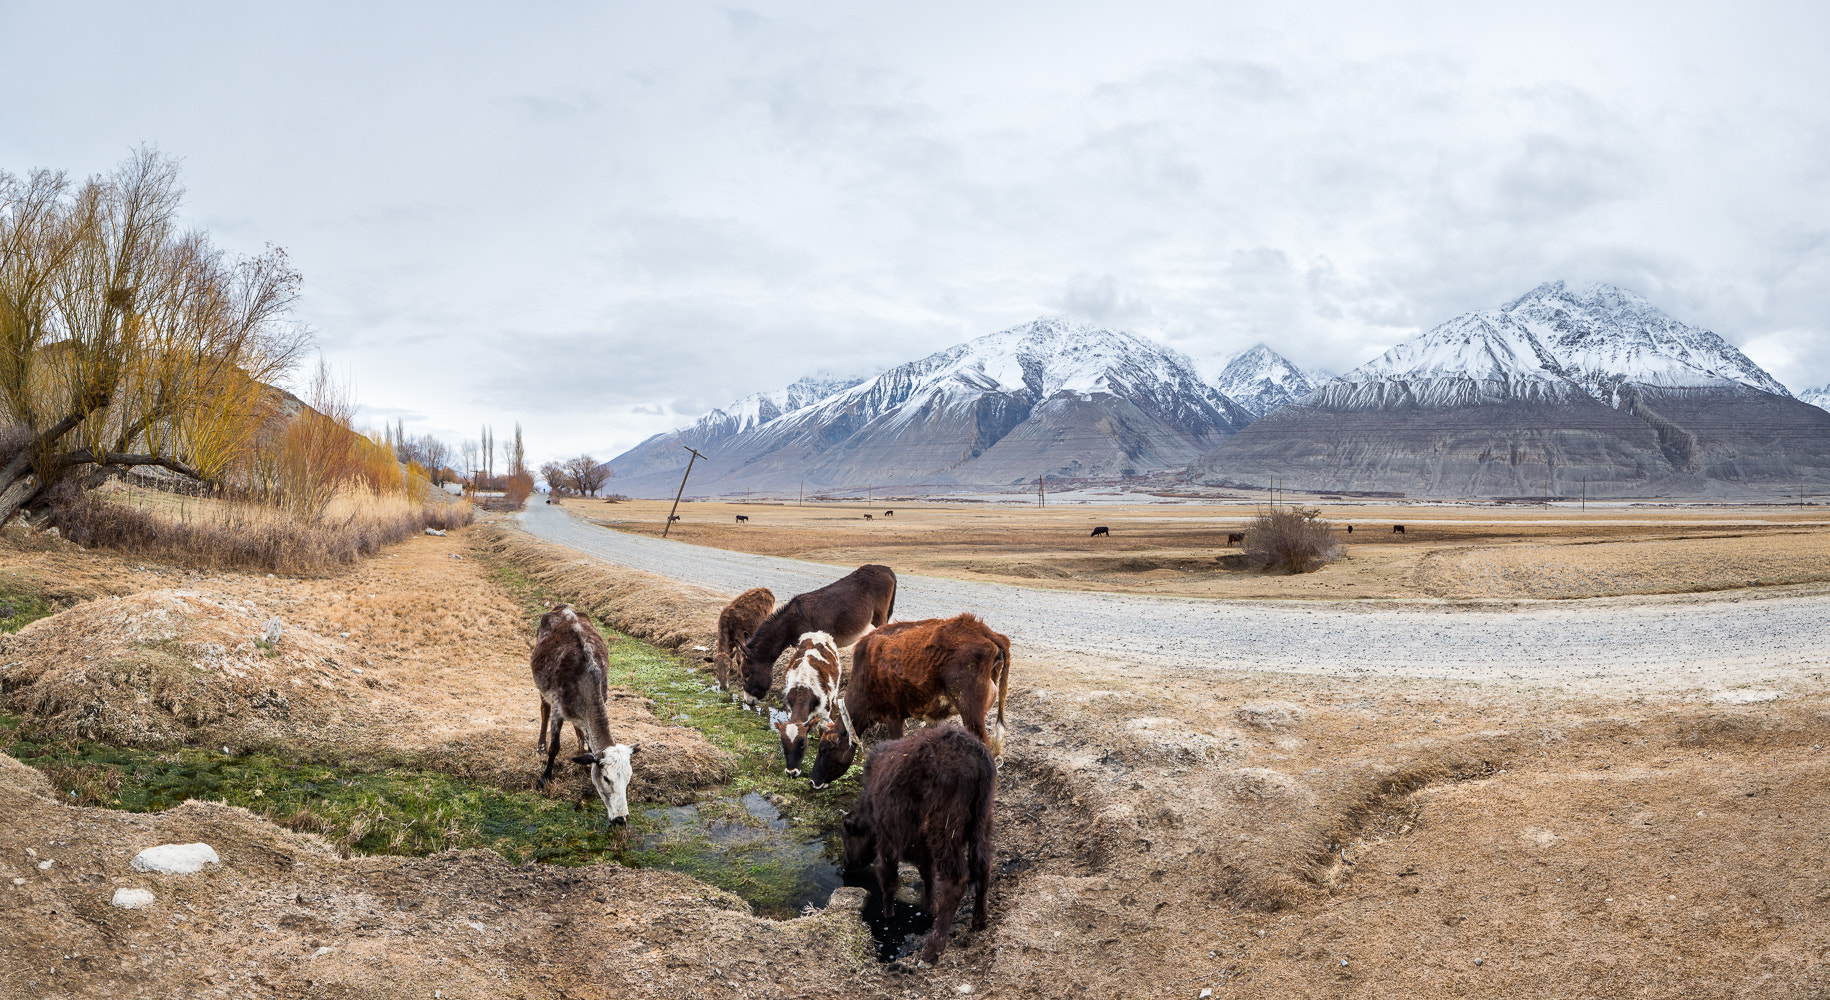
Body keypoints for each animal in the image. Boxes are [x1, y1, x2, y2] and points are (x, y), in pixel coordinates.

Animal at [527, 604, 640, 820]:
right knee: (543, 710)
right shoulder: (558, 708)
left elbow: (588, 743)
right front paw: (544, 778)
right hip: (541, 686)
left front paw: (585, 754)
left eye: (629, 777)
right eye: (606, 778)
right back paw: (540, 746)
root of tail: (562, 606)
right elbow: (555, 747)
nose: (620, 818)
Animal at [812, 608, 1017, 787]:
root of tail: (982, 630)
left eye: (824, 749)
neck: (866, 671)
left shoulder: (893, 716)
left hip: (971, 712)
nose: (812, 781)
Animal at [845, 721, 1002, 959]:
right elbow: (927, 876)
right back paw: (979, 921)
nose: (845, 865)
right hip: (982, 825)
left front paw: (888, 914)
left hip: (945, 834)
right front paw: (929, 908)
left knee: (956, 880)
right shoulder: (922, 846)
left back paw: (931, 951)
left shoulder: (887, 842)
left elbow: (889, 879)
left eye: (846, 834)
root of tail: (977, 754)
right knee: (983, 867)